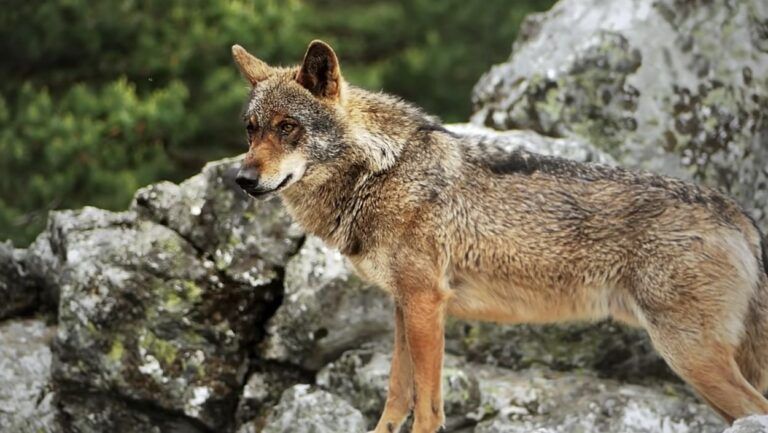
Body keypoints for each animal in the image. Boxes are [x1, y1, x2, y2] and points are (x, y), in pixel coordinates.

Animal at [230, 40, 768, 432]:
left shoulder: (426, 304)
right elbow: (395, 398)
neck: (382, 170)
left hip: (690, 356)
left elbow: (427, 407)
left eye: (288, 127)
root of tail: (738, 214)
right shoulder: (404, 306)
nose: (242, 179)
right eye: (251, 130)